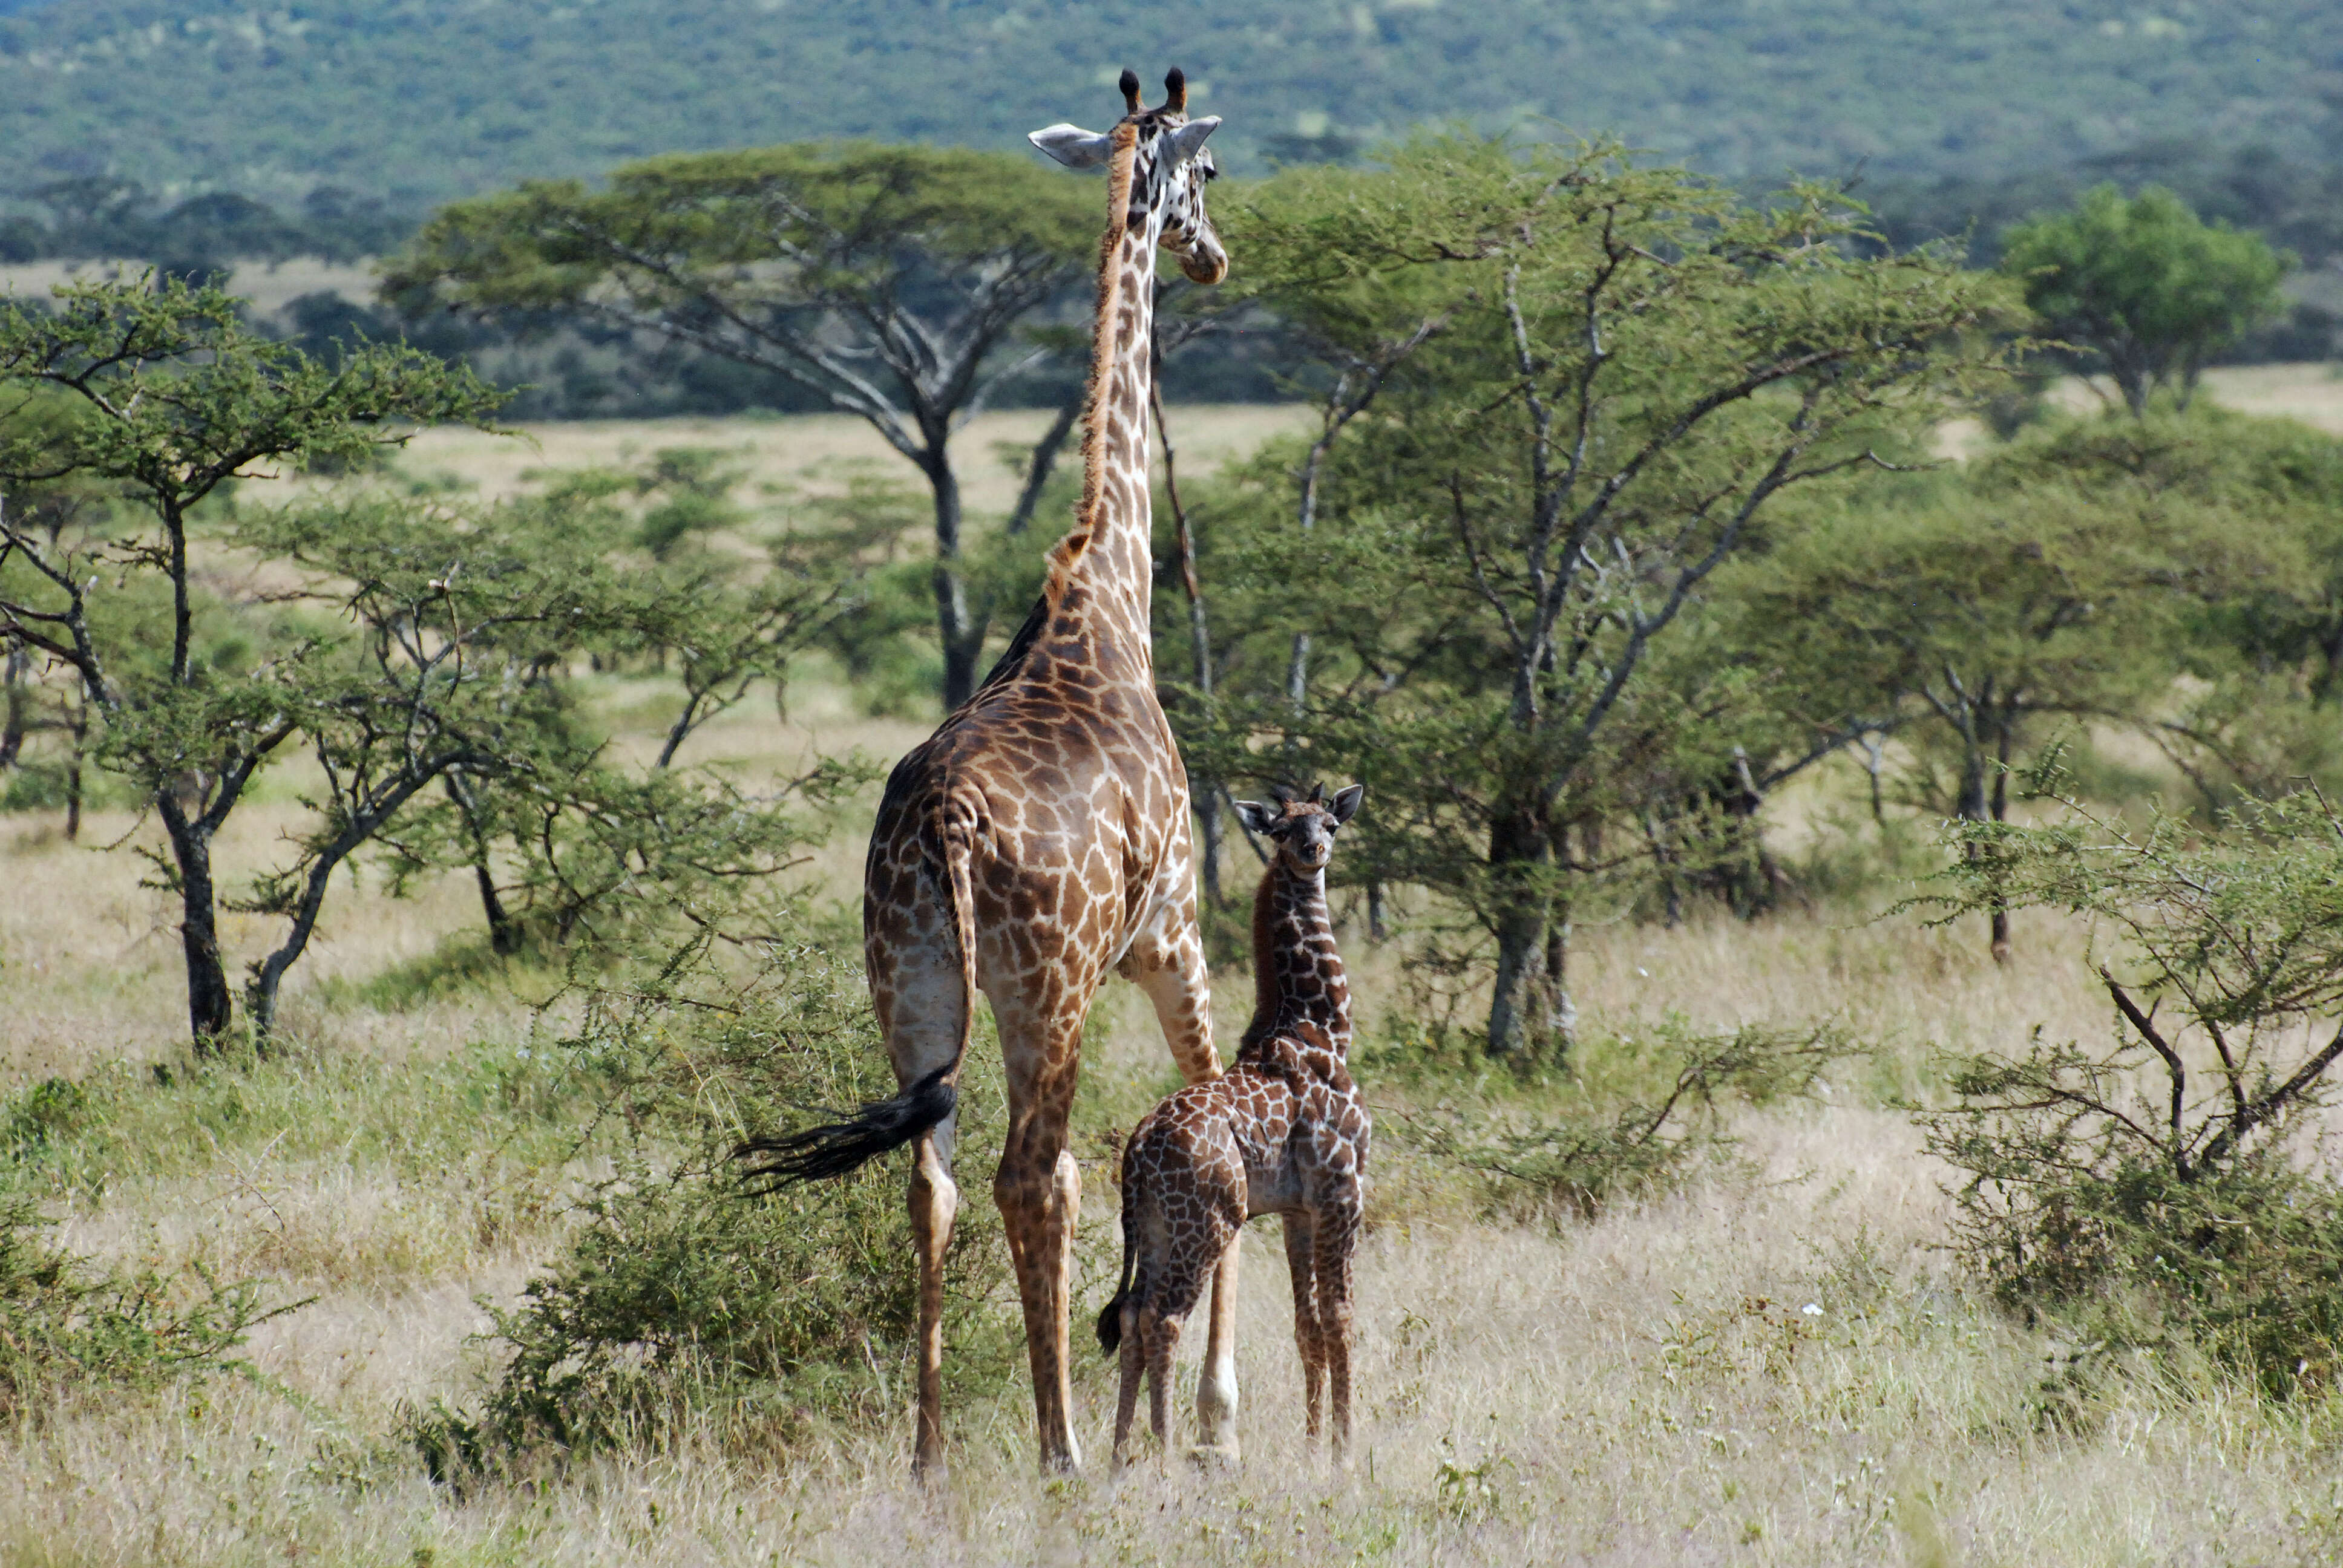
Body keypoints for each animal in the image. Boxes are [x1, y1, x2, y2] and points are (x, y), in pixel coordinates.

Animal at [740, 67, 1237, 1472]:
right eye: (1210, 174)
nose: (1215, 257)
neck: (1104, 593)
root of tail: (950, 828)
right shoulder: (1171, 930)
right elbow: (1216, 1104)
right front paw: (1212, 1420)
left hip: (907, 977)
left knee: (931, 1176)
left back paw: (927, 1457)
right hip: (1046, 985)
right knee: (1035, 1173)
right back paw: (1061, 1449)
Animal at [1101, 783, 1368, 1472]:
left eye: (1329, 823)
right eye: (1284, 829)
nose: (1313, 852)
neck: (1320, 1025)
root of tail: (1136, 1151)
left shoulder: (1298, 1208)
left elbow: (1308, 1326)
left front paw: (1312, 1445)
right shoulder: (1343, 1190)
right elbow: (1340, 1317)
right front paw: (1345, 1451)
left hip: (1157, 1225)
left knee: (1132, 1314)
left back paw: (1120, 1457)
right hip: (1210, 1221)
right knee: (1163, 1318)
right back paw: (1165, 1454)